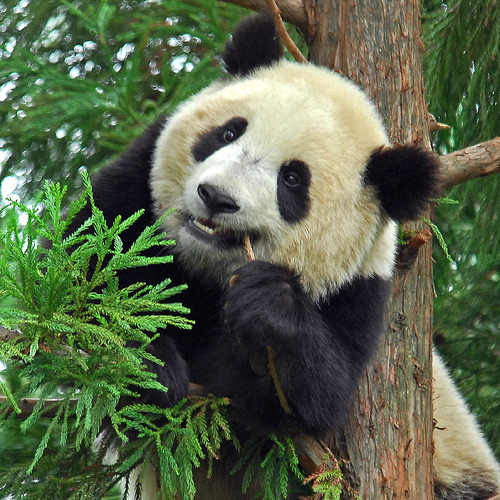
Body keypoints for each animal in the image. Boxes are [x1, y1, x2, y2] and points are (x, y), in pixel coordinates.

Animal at [69, 13, 500, 500]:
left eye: (292, 179)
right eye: (228, 132)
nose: (216, 197)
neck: (206, 270)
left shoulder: (360, 289)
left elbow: (321, 398)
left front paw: (267, 306)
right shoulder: (136, 180)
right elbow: (82, 267)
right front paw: (149, 365)